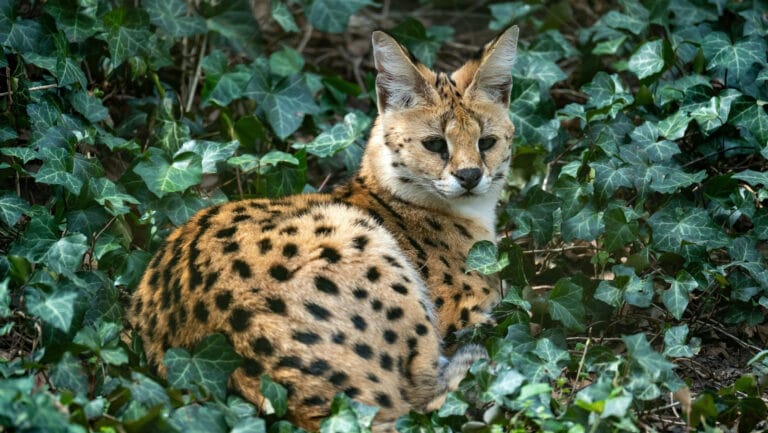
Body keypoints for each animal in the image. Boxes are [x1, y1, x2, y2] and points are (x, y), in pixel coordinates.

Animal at [129, 25, 519, 432]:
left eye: (487, 142)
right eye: (434, 144)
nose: (470, 176)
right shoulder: (466, 316)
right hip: (360, 240)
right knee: (418, 400)